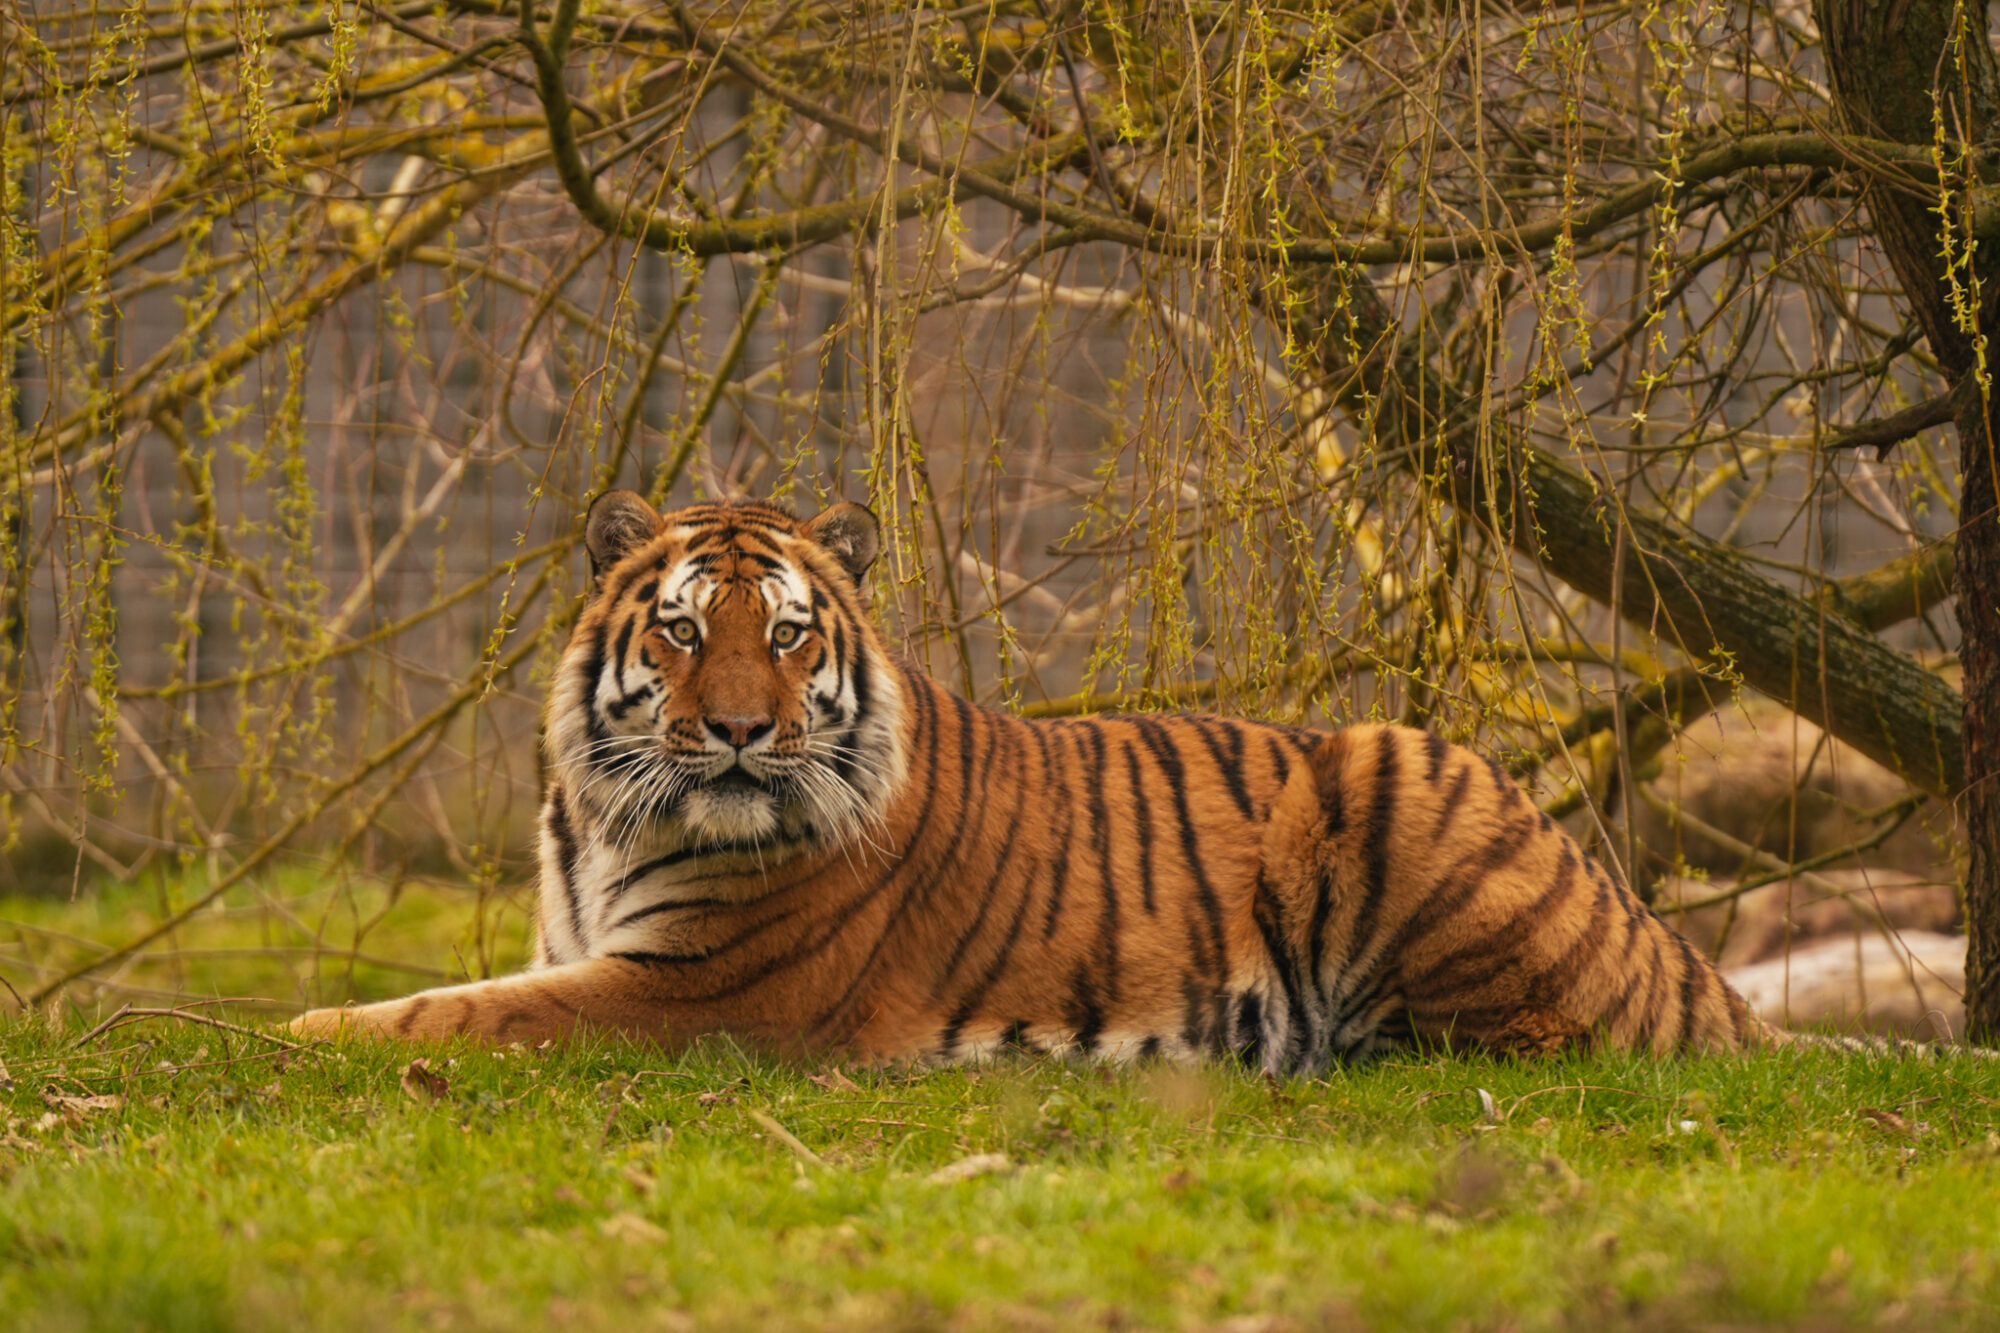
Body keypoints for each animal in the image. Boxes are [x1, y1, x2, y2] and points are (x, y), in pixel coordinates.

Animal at [290, 489, 1776, 1069]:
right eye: (682, 631)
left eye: (787, 635)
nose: (741, 733)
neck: (604, 821)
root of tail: (1666, 945)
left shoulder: (692, 992)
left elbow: (449, 1013)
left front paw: (280, 1028)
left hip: (1402, 772)